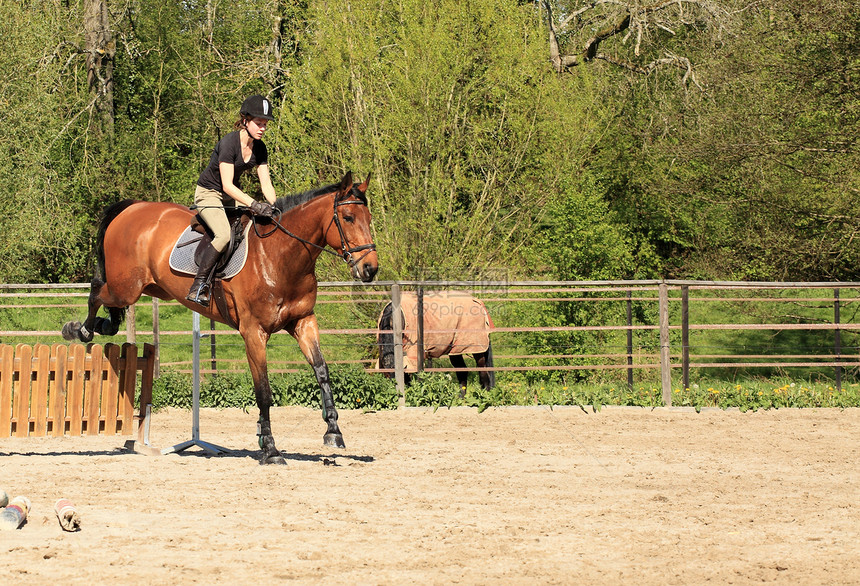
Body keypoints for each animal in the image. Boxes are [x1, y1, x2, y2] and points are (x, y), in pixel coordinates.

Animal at [62, 169, 378, 460]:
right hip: (125, 288)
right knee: (96, 291)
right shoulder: (254, 332)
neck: (280, 256)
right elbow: (263, 389)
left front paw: (333, 432)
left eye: (369, 218)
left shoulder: (303, 322)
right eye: (348, 218)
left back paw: (97, 326)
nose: (370, 269)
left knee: (111, 309)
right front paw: (270, 448)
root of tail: (133, 207)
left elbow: (322, 371)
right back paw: (79, 329)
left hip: (150, 288)